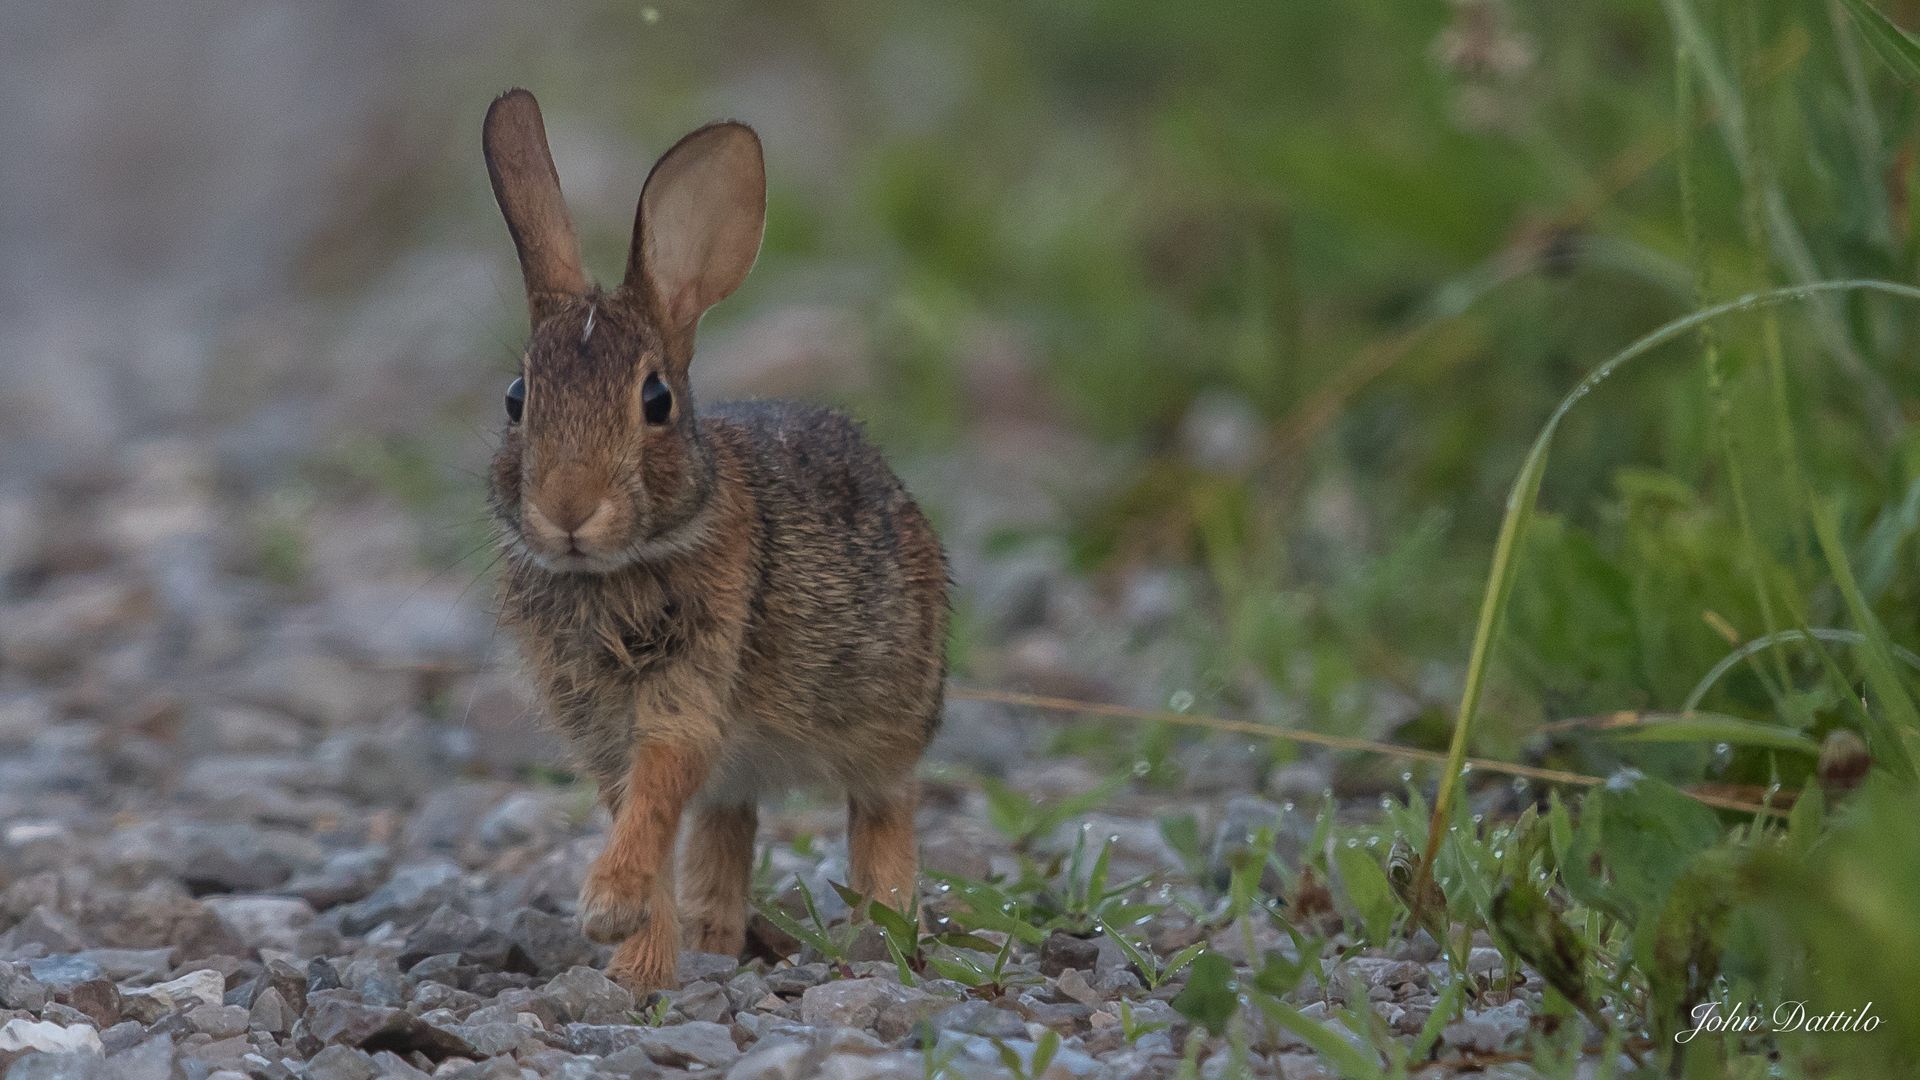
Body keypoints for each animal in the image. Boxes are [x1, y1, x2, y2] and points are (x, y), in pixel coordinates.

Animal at [483, 90, 948, 983]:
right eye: (517, 398)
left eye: (656, 400)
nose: (568, 507)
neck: (617, 567)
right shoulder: (603, 729)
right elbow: (647, 815)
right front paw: (638, 965)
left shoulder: (687, 694)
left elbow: (662, 788)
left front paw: (611, 911)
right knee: (730, 826)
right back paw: (712, 942)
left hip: (887, 713)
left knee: (886, 806)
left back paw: (883, 935)